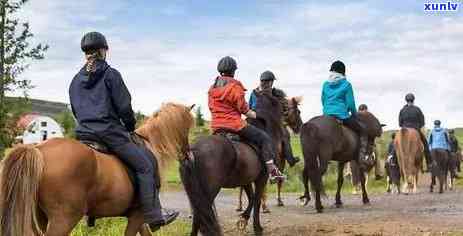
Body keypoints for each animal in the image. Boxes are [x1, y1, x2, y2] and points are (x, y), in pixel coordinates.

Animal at [0, 103, 195, 236]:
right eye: (186, 128)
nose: (190, 157)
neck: (149, 145)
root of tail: (38, 149)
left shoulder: (137, 217)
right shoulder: (138, 215)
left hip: (41, 218)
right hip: (63, 220)